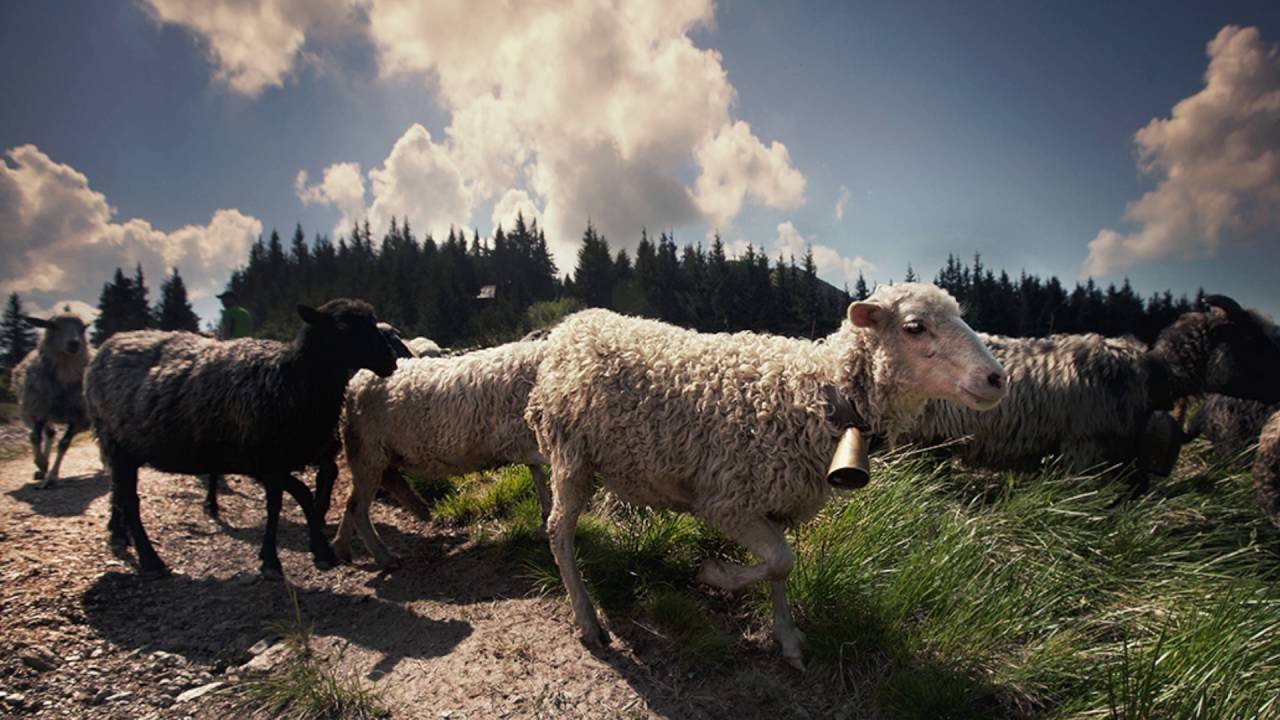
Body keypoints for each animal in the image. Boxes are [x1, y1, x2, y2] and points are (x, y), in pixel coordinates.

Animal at [11, 304, 92, 484]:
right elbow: (35, 437)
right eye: (53, 326)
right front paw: (41, 464)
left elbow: (64, 444)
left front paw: (52, 476)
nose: (74, 343)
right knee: (49, 434)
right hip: (41, 412)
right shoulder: (38, 411)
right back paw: (43, 467)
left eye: (83, 328)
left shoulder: (78, 418)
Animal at [86, 297, 394, 576]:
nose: (390, 360)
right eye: (343, 327)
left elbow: (275, 506)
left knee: (120, 492)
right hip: (118, 445)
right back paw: (150, 560)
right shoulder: (262, 462)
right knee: (129, 500)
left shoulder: (277, 463)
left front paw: (270, 559)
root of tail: (107, 347)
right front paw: (319, 551)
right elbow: (303, 496)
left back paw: (121, 536)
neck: (289, 378)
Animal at [332, 335, 547, 566]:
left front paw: (545, 524)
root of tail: (356, 383)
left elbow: (540, 480)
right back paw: (384, 558)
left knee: (352, 502)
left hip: (371, 456)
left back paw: (342, 549)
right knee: (357, 507)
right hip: (368, 453)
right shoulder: (523, 441)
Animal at [524, 283, 1003, 666]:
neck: (817, 396)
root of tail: (572, 326)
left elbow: (780, 569)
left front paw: (787, 638)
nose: (997, 378)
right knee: (557, 531)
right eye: (915, 326)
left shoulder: (778, 504)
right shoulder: (727, 500)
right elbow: (779, 560)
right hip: (571, 457)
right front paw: (714, 574)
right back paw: (587, 619)